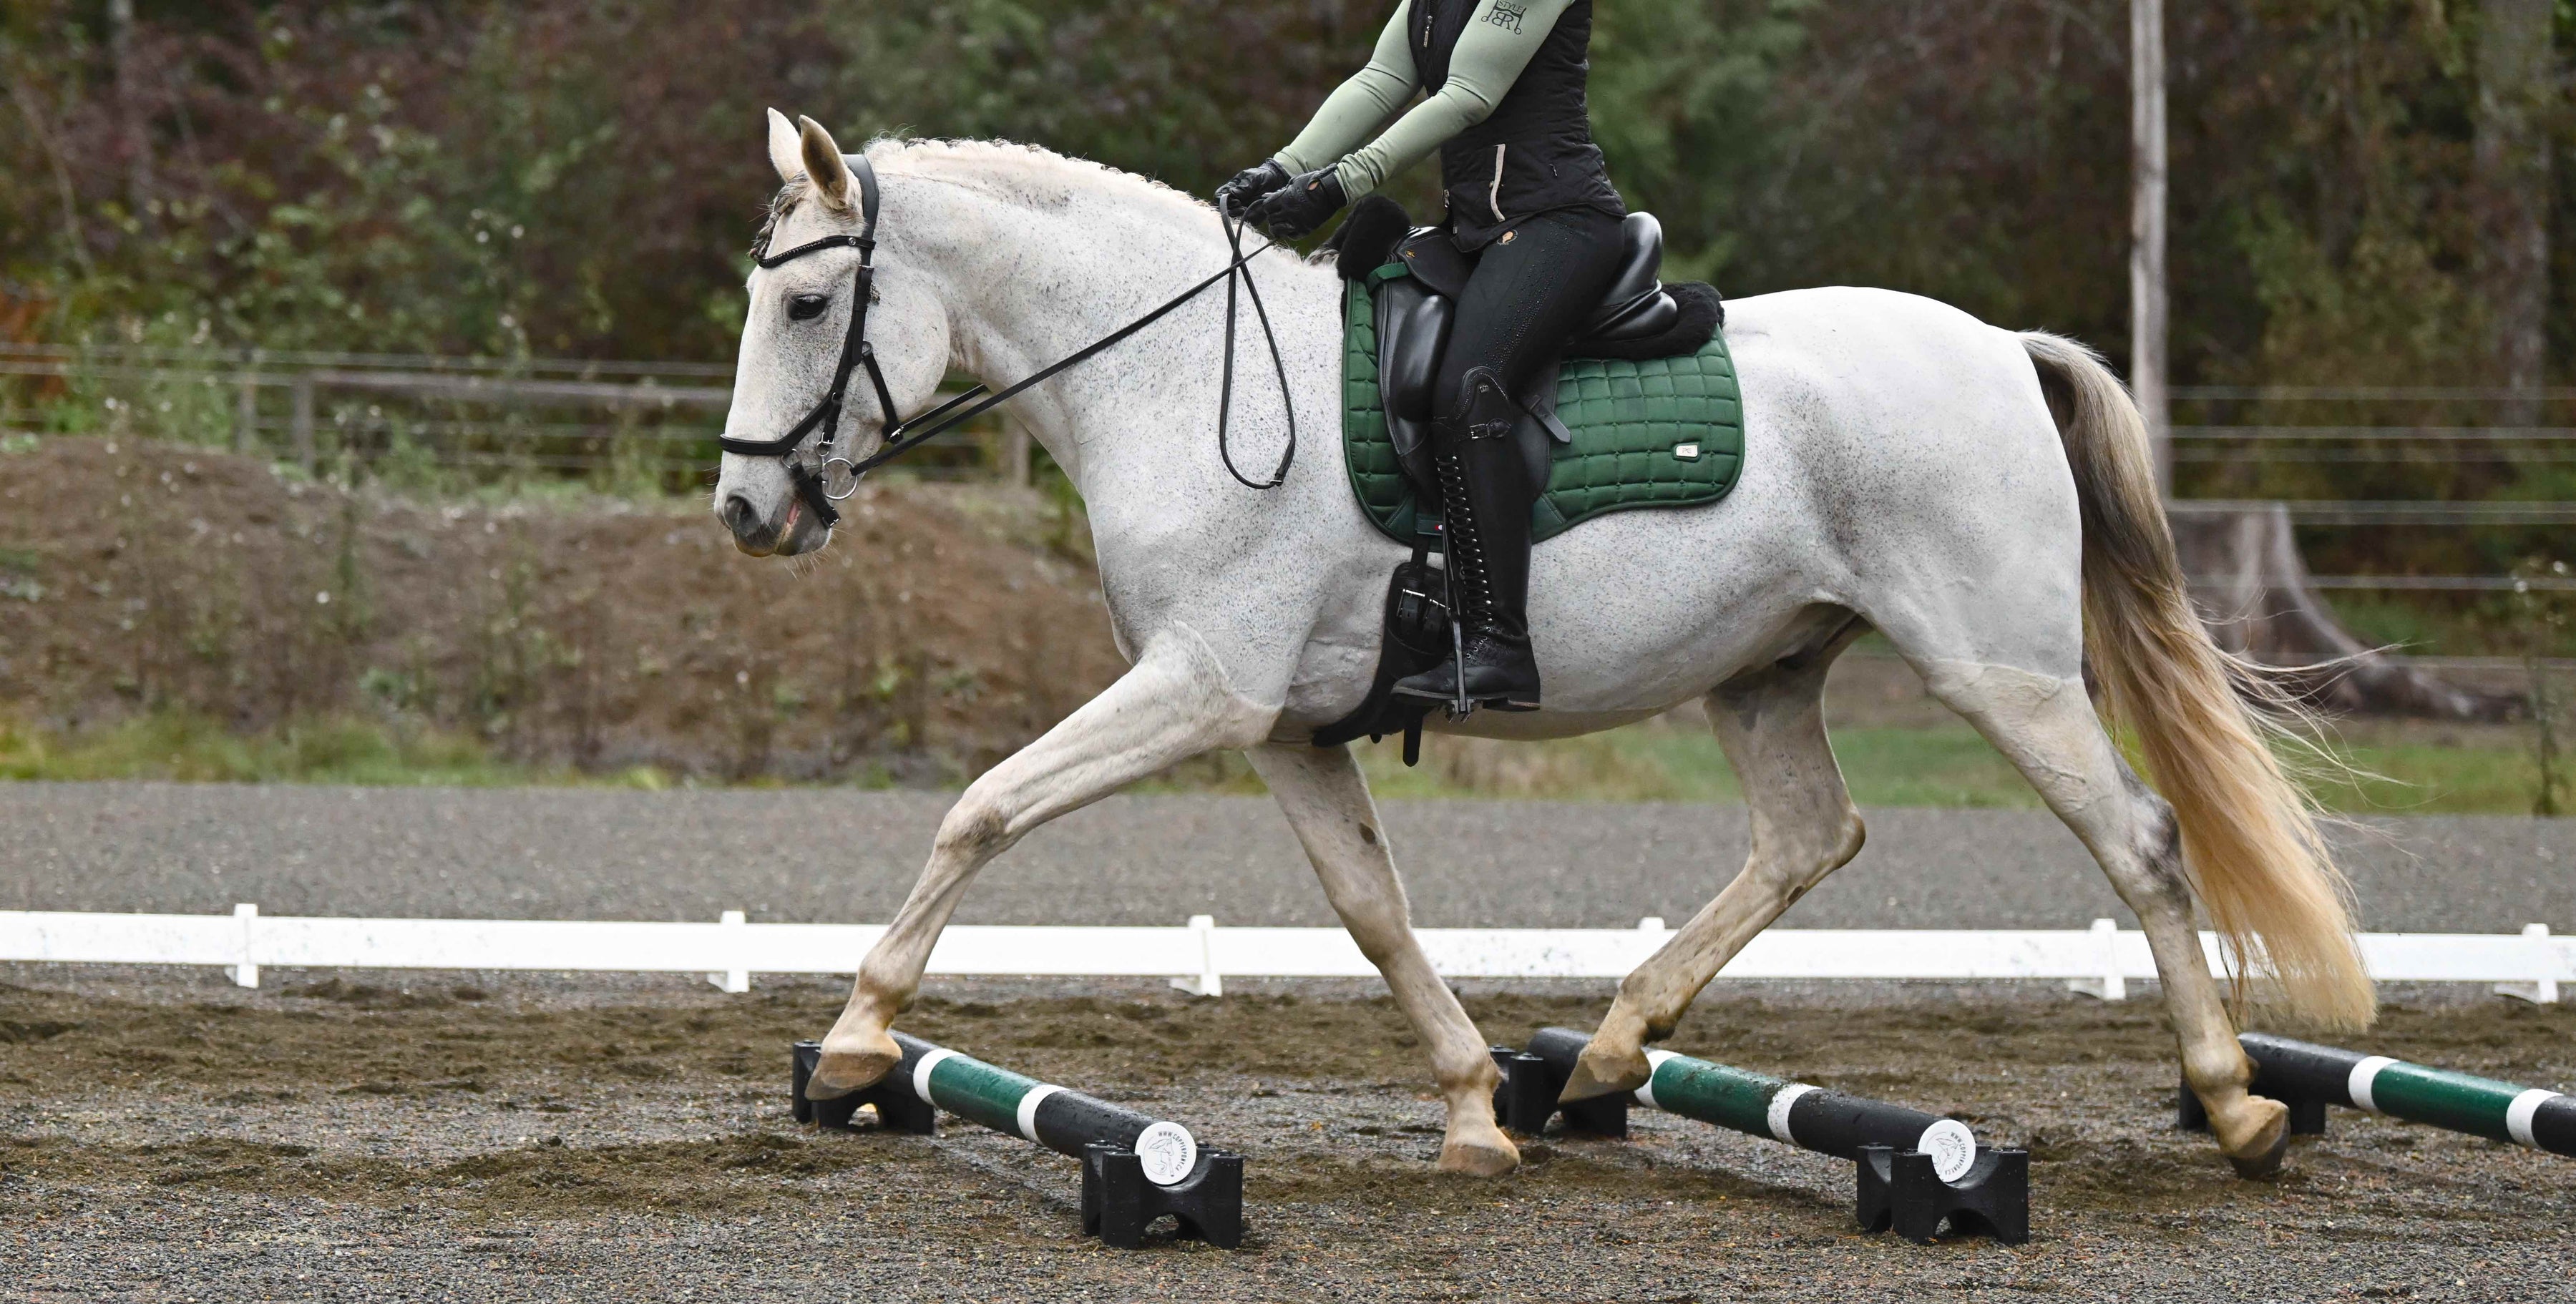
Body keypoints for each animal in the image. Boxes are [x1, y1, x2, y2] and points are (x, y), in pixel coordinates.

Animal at [715, 111, 2373, 1179]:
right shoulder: (1283, 727)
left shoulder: (1200, 689)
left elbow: (981, 806)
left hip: (2001, 671)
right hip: (1765, 669)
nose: (744, 508)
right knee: (1807, 835)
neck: (1182, 375)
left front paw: (857, 1041)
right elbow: (1375, 911)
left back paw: (2235, 1105)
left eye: (809, 303)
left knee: (2140, 840)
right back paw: (1604, 1056)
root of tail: (1999, 350)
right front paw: (1471, 1106)